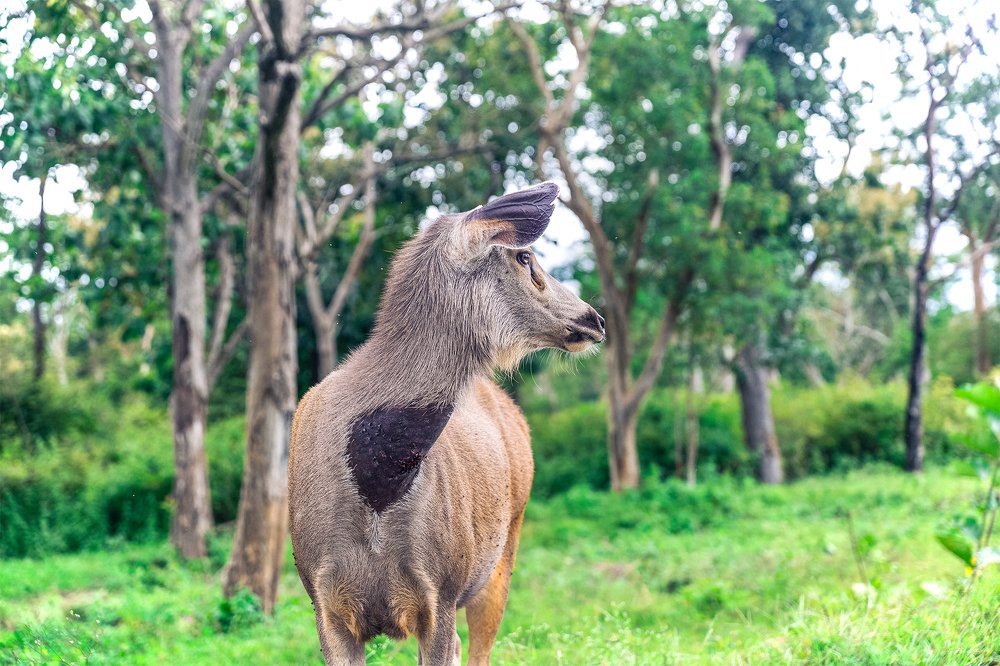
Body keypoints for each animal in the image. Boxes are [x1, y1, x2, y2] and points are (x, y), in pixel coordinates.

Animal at [288, 182, 606, 666]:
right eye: (525, 257)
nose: (595, 318)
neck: (377, 489)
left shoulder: (442, 590)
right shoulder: (322, 601)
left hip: (501, 555)